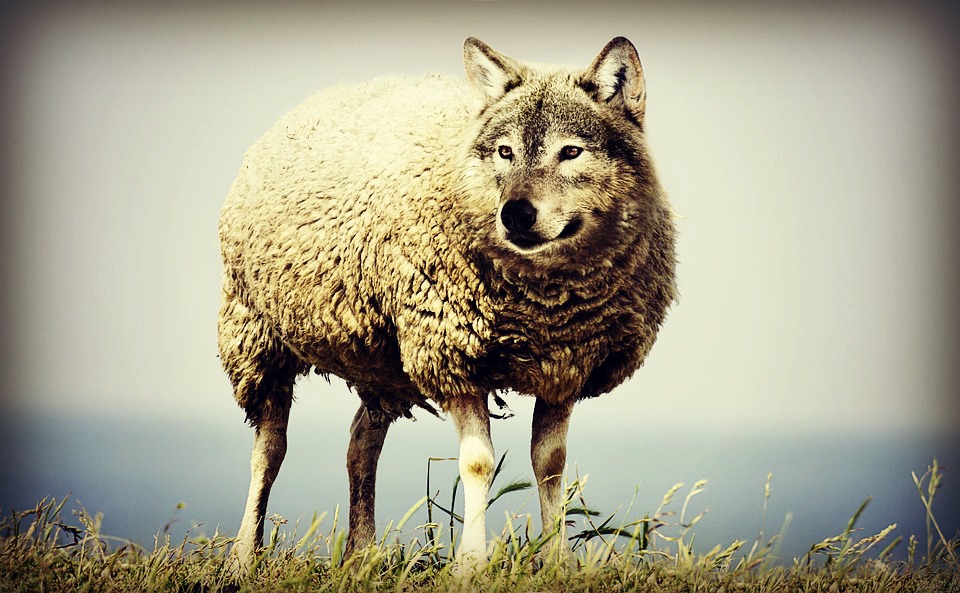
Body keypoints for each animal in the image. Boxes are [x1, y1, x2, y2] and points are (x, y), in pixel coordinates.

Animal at [219, 36, 676, 572]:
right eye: (504, 151)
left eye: (571, 152)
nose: (515, 214)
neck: (545, 304)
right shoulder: (452, 355)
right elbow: (478, 463)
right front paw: (473, 563)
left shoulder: (565, 366)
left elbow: (550, 464)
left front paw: (557, 560)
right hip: (255, 334)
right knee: (269, 449)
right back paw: (244, 555)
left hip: (382, 363)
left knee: (361, 445)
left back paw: (361, 554)